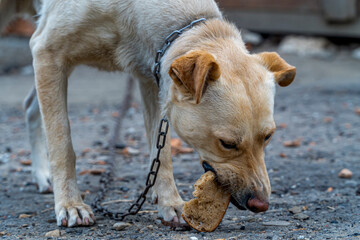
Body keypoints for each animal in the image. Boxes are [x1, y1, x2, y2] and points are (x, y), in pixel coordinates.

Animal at [0, 0, 296, 227]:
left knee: (31, 105)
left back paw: (41, 175)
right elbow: (62, 144)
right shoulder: (47, 52)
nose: (261, 204)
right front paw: (70, 204)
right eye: (227, 144)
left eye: (268, 137)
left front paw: (169, 202)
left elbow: (161, 154)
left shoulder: (153, 80)